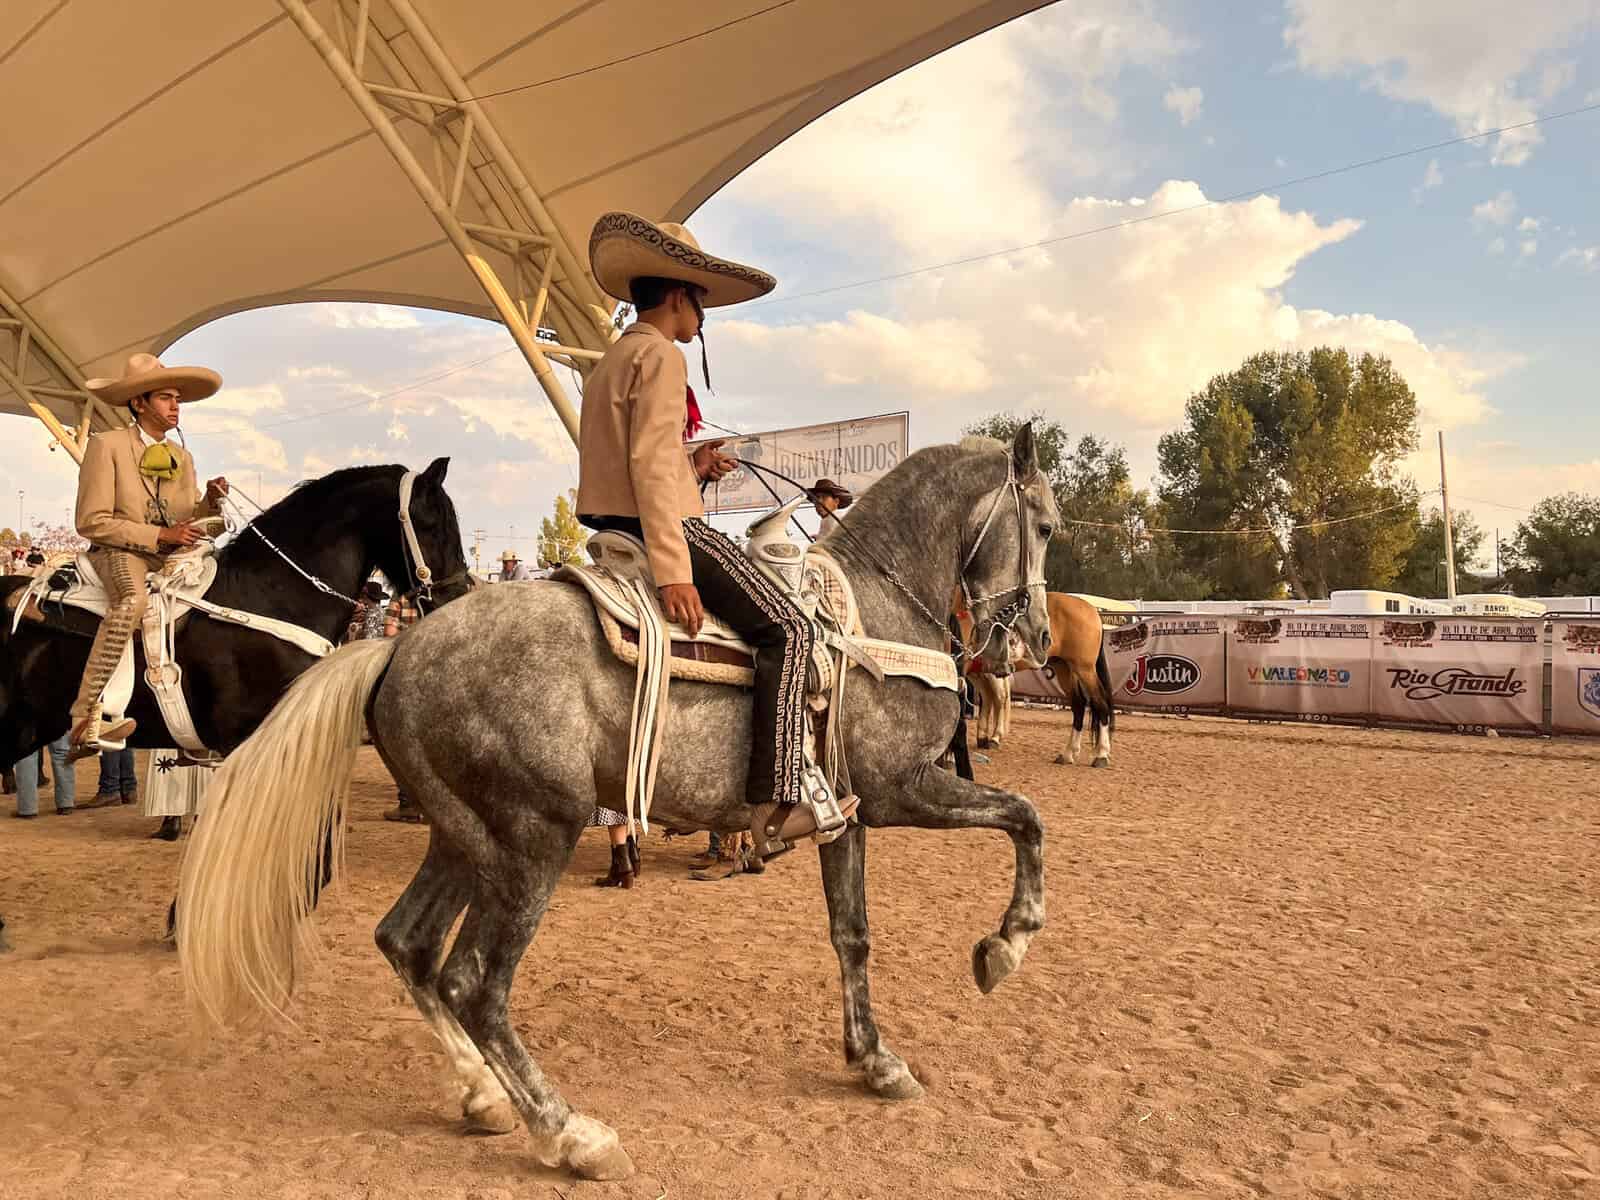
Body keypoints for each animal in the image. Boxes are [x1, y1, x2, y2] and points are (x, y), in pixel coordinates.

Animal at [176, 427, 1059, 1182]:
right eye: (1045, 524)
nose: (1037, 638)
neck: (874, 612)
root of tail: (397, 649)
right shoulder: (902, 789)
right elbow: (1025, 817)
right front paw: (1004, 948)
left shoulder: (848, 814)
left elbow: (854, 935)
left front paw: (876, 1060)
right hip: (534, 839)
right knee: (473, 982)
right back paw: (572, 1134)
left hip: (464, 839)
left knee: (408, 944)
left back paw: (484, 1098)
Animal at [1044, 592, 1116, 768]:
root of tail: (1092, 611)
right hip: (1064, 667)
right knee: (1078, 705)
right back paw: (1068, 753)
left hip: (1084, 669)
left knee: (1100, 703)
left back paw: (1102, 755)